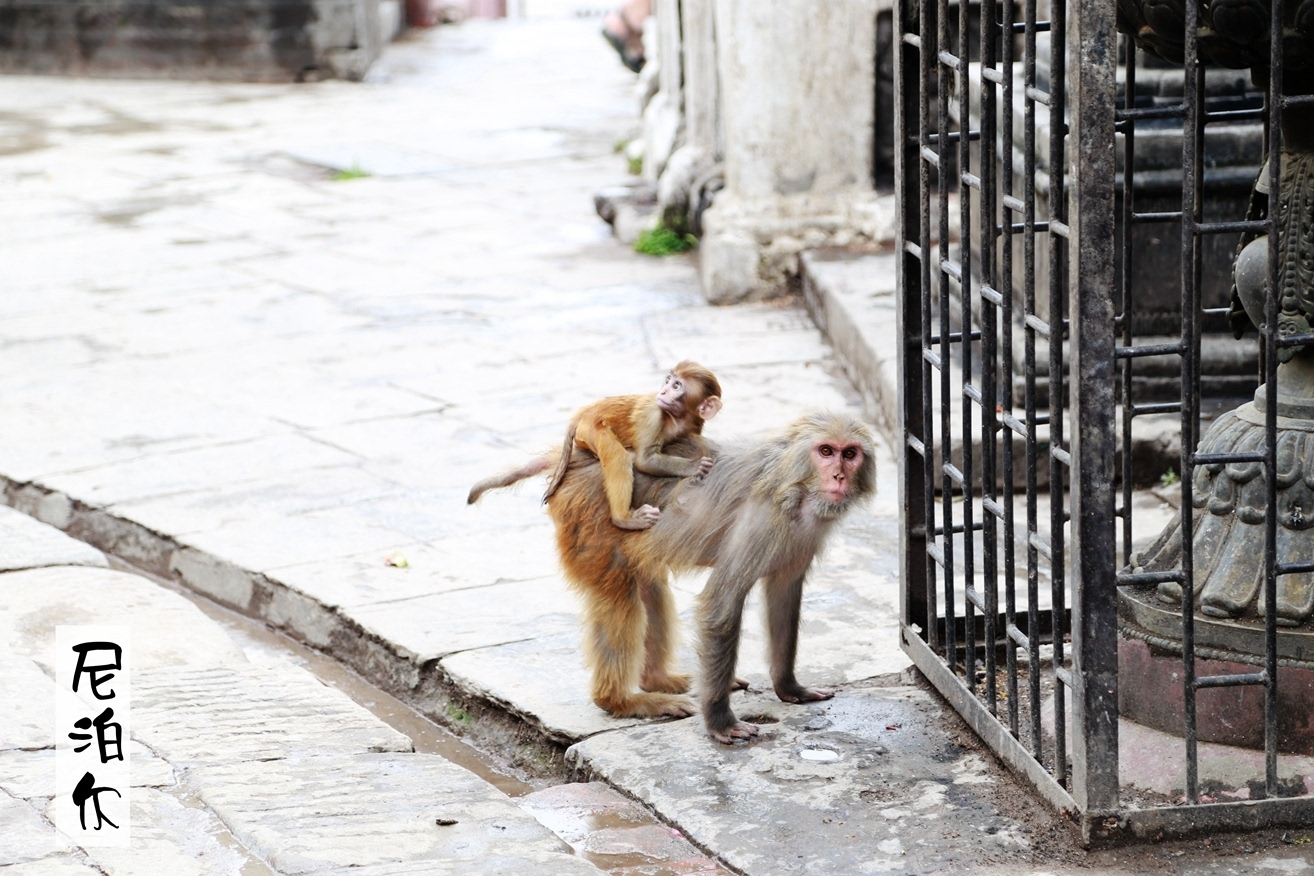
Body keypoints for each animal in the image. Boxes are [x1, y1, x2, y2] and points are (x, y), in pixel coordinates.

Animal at [549, 415, 877, 735]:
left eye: (850, 454)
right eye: (826, 451)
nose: (839, 476)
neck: (797, 490)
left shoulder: (807, 532)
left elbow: (784, 594)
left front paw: (789, 686)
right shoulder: (762, 520)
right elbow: (722, 604)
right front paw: (721, 721)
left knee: (651, 588)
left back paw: (659, 681)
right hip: (590, 520)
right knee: (620, 597)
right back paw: (620, 700)